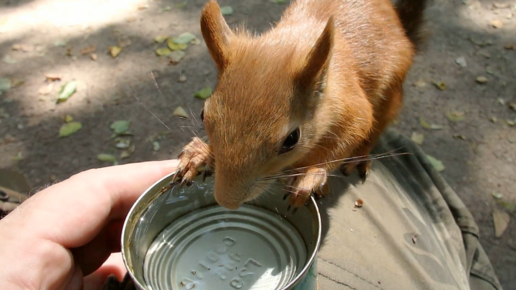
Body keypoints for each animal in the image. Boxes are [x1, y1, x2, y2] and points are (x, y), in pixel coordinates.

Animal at [172, 0, 428, 208]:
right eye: (204, 114)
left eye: (292, 139)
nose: (226, 202)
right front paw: (200, 153)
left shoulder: (354, 109)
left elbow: (348, 138)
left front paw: (309, 175)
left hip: (390, 96)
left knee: (376, 129)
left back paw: (359, 158)